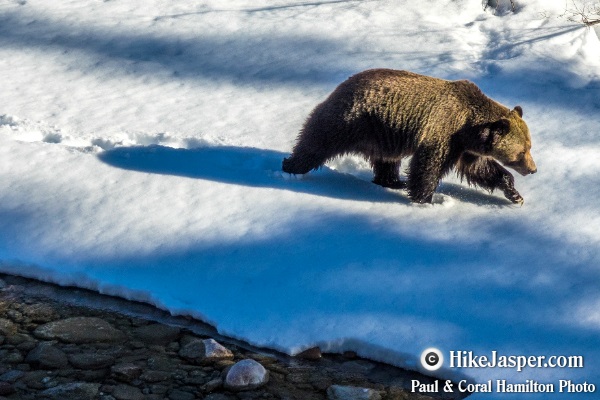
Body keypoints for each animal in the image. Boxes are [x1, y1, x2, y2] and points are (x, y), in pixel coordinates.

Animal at [284, 68, 536, 203]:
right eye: (522, 151)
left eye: (530, 146)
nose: (533, 169)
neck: (469, 127)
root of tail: (342, 85)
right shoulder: (444, 131)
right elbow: (428, 166)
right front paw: (425, 199)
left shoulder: (466, 147)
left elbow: (481, 169)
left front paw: (515, 195)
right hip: (353, 120)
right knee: (317, 143)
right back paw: (290, 167)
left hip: (382, 135)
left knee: (386, 161)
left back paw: (393, 181)